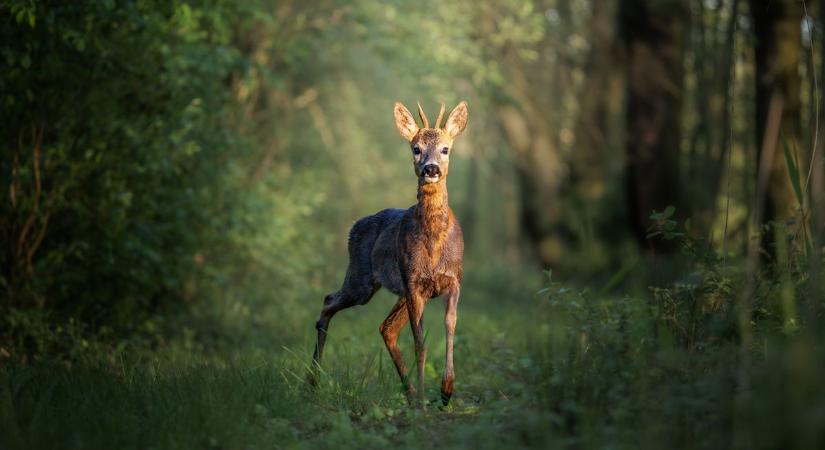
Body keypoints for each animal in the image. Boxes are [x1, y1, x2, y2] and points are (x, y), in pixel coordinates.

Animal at [308, 100, 466, 406]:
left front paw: (446, 391)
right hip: (362, 280)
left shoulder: (453, 279)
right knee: (329, 301)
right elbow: (420, 343)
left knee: (387, 327)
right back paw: (312, 381)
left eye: (445, 149)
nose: (430, 168)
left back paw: (410, 392)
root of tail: (354, 227)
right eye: (416, 148)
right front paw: (426, 402)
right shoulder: (413, 281)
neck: (434, 244)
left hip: (394, 290)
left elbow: (450, 326)